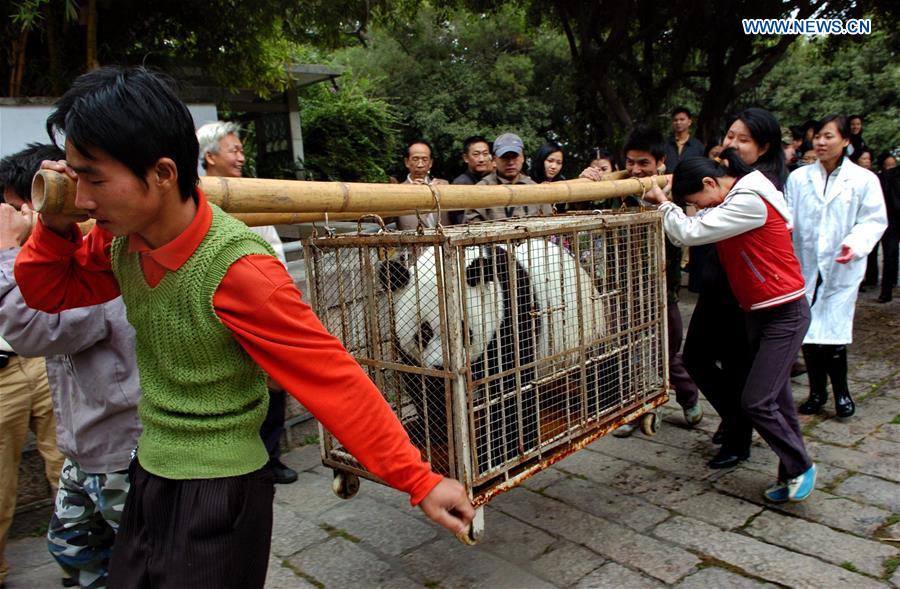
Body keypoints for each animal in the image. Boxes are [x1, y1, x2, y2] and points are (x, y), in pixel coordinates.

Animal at [380, 237, 604, 470]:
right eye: (424, 333)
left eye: (463, 332)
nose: (441, 366)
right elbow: (425, 386)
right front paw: (432, 432)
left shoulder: (512, 313)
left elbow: (510, 386)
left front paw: (498, 454)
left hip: (585, 328)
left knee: (597, 366)